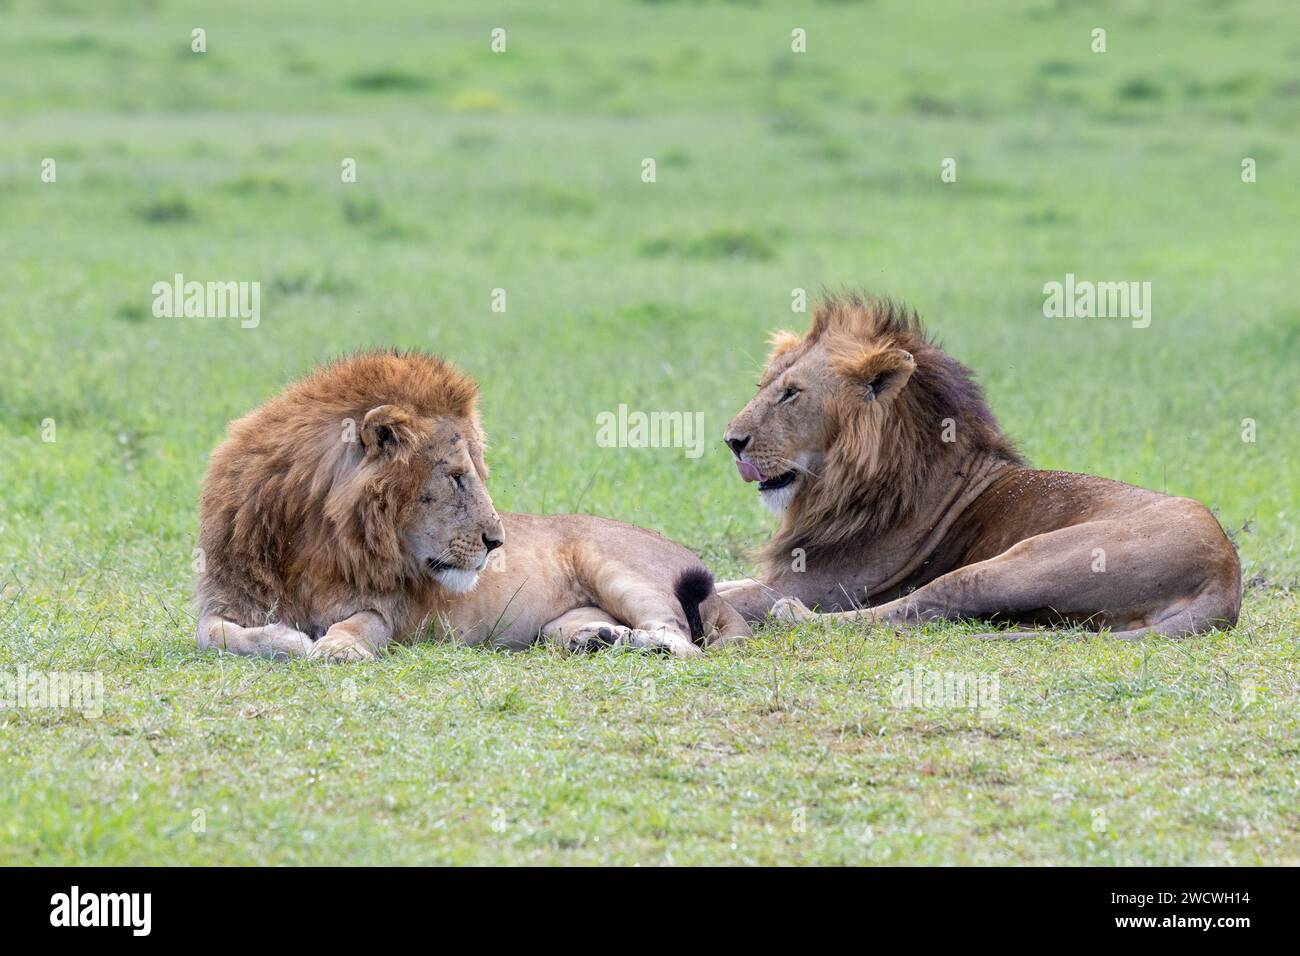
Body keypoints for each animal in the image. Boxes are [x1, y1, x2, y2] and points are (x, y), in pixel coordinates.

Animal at [195, 350, 748, 661]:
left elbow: (357, 624)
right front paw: (287, 640)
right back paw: (597, 640)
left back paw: (638, 645)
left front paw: (335, 646)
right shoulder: (221, 598)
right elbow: (213, 635)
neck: (312, 545)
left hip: (619, 568)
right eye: (458, 477)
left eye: (475, 475)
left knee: (682, 638)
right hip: (560, 620)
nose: (496, 542)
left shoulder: (387, 610)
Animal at [717, 293, 1242, 639]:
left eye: (791, 393)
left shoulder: (820, 585)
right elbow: (722, 580)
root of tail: (1227, 574)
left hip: (1026, 560)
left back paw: (794, 618)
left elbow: (735, 595)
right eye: (764, 385)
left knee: (922, 606)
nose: (731, 442)